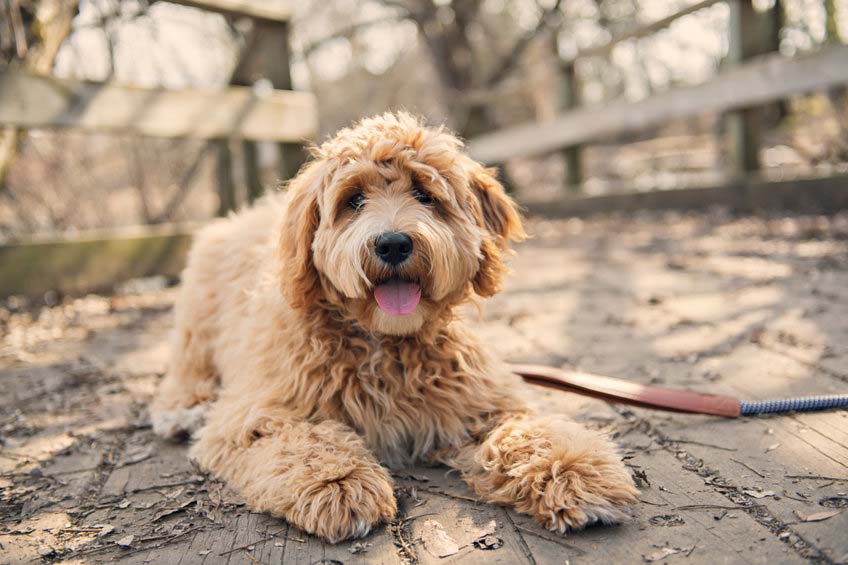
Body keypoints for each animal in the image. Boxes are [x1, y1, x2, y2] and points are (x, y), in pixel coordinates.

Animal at [152, 111, 640, 540]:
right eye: (353, 200)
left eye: (425, 194)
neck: (385, 341)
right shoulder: (254, 414)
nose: (392, 243)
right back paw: (182, 409)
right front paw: (339, 483)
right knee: (187, 368)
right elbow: (299, 439)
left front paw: (572, 470)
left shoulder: (480, 403)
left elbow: (525, 431)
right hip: (197, 322)